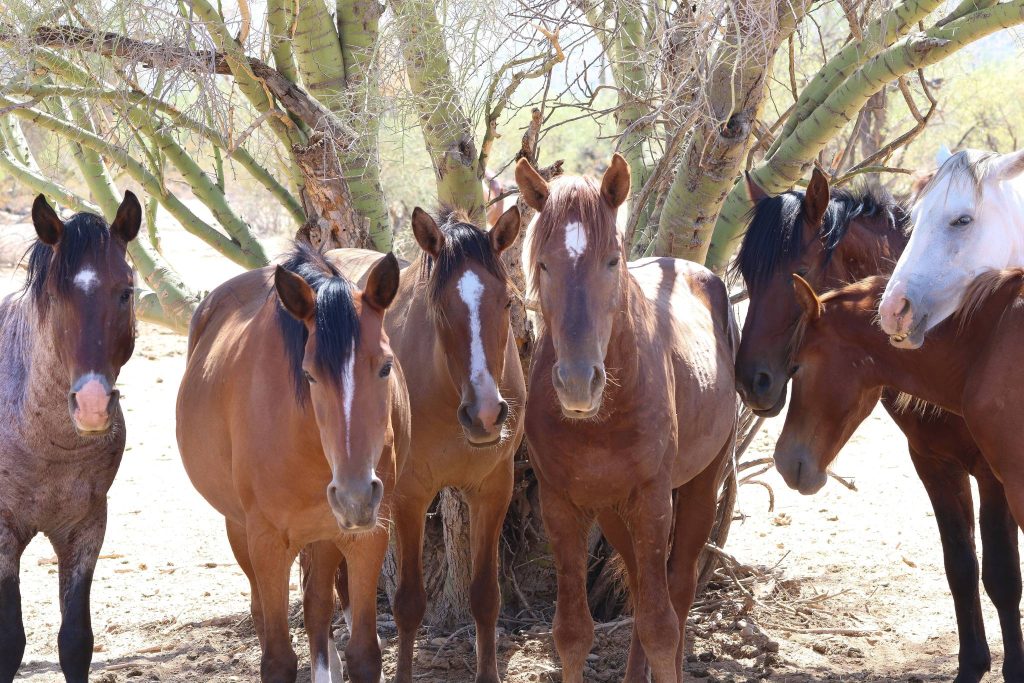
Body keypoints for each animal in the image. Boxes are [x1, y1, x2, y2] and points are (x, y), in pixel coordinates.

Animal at [0, 192, 140, 683]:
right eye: (56, 296)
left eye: (126, 291)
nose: (93, 405)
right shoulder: (3, 534)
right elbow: (10, 641)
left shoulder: (85, 528)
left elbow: (76, 640)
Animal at [176, 244, 410, 683]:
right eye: (309, 374)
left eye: (386, 366)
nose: (354, 497)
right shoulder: (266, 542)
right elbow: (278, 660)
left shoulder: (367, 537)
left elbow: (363, 654)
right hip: (240, 530)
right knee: (264, 612)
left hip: (325, 536)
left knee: (317, 609)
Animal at [327, 206, 525, 683]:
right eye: (439, 307)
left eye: (507, 302)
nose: (485, 414)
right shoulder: (410, 496)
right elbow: (409, 604)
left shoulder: (493, 490)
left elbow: (485, 596)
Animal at [515, 154, 738, 682]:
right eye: (543, 263)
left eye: (612, 261)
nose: (578, 383)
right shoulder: (562, 505)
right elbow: (573, 633)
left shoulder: (653, 498)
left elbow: (661, 626)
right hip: (614, 510)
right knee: (640, 585)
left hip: (699, 485)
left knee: (676, 589)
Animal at [778, 271, 1024, 681]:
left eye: (795, 367)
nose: (784, 462)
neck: (988, 345)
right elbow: (964, 567)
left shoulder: (1004, 482)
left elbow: (1003, 578)